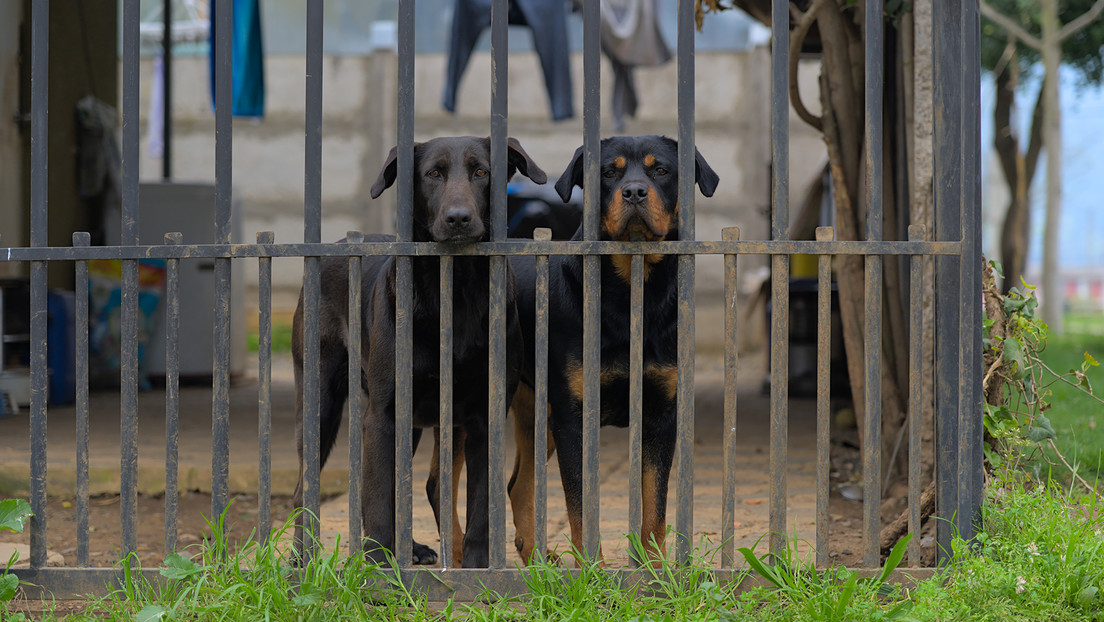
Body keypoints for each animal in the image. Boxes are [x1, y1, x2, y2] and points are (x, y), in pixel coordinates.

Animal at [293, 137, 547, 570]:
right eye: (433, 173)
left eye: (482, 172)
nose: (459, 218)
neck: (455, 293)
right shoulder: (381, 415)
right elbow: (378, 500)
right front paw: (379, 567)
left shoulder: (484, 417)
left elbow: (480, 507)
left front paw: (477, 569)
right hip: (321, 405)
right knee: (304, 492)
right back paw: (300, 557)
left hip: (409, 428)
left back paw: (410, 548)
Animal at [505, 135, 719, 565]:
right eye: (607, 172)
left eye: (661, 170)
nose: (634, 192)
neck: (629, 294)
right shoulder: (572, 420)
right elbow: (581, 505)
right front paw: (592, 570)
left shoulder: (660, 415)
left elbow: (655, 506)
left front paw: (654, 568)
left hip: (537, 413)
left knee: (518, 485)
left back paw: (537, 560)